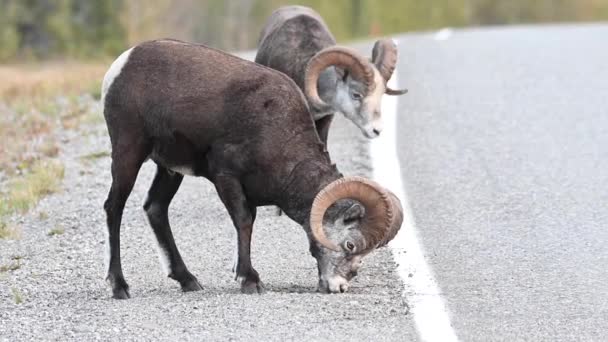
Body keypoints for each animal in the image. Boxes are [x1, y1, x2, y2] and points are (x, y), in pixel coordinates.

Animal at [101, 38, 404, 298]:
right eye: (350, 245)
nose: (338, 286)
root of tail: (121, 65)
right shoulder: (227, 178)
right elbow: (244, 221)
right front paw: (250, 280)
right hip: (129, 152)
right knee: (114, 208)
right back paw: (119, 286)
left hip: (169, 170)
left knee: (155, 208)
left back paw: (188, 280)